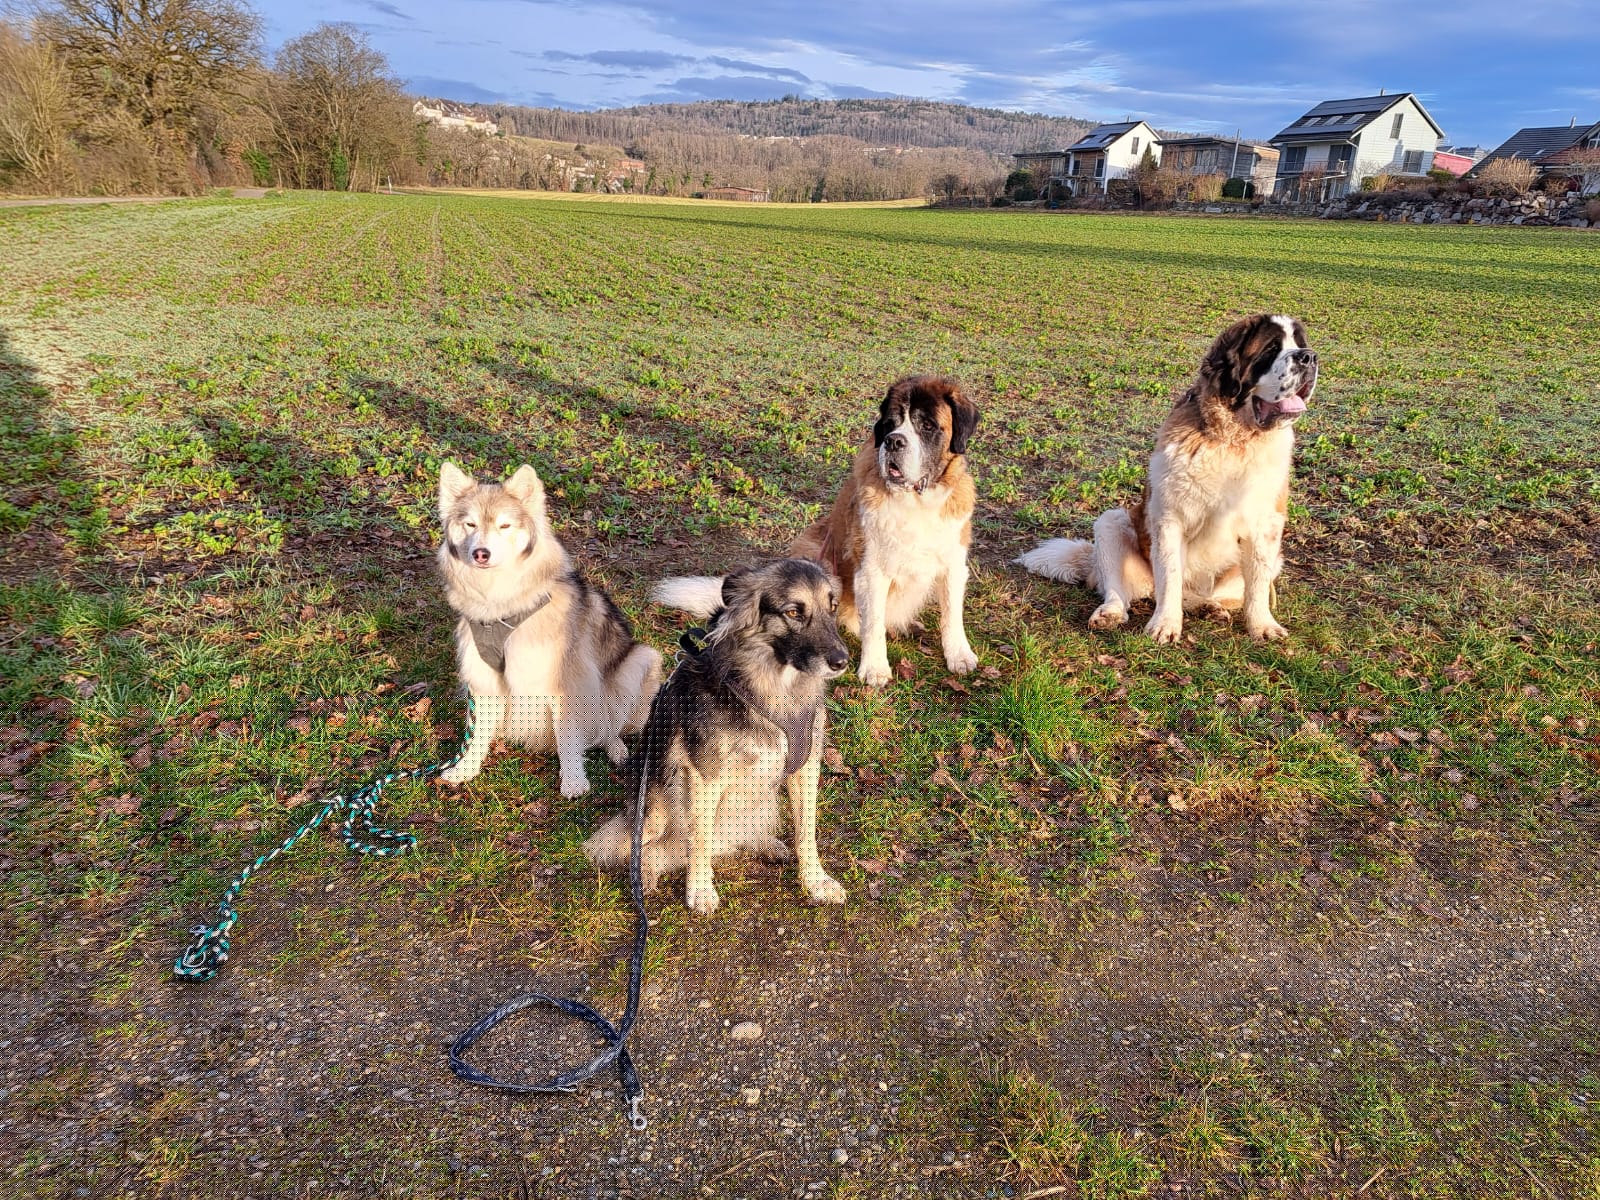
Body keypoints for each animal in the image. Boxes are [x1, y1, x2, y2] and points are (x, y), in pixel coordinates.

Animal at [435, 461, 661, 795]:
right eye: (470, 525)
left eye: (505, 526)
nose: (481, 553)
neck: (502, 603)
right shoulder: (483, 681)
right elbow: (476, 735)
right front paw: (465, 768)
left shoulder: (565, 682)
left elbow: (568, 735)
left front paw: (573, 780)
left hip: (640, 661)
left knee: (610, 727)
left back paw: (616, 748)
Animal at [584, 559, 849, 915]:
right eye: (794, 612)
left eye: (832, 607)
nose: (841, 661)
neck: (771, 688)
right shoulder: (704, 775)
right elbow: (699, 838)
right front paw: (700, 890)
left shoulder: (805, 766)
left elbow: (806, 831)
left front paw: (816, 882)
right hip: (653, 808)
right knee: (642, 846)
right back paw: (646, 877)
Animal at [654, 375, 981, 688]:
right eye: (890, 424)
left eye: (927, 426)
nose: (893, 441)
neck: (916, 502)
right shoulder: (871, 568)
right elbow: (873, 622)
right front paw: (875, 668)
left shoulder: (953, 562)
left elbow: (952, 614)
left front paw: (958, 654)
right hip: (814, 550)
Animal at [1017, 314, 1318, 643]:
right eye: (1271, 349)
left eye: (1300, 344)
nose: (1309, 357)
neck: (1230, 441)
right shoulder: (1168, 519)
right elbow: (1170, 576)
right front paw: (1165, 625)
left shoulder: (1267, 526)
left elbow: (1258, 586)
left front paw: (1262, 625)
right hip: (1112, 523)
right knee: (1124, 590)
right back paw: (1112, 613)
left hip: (1273, 558)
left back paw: (1207, 606)